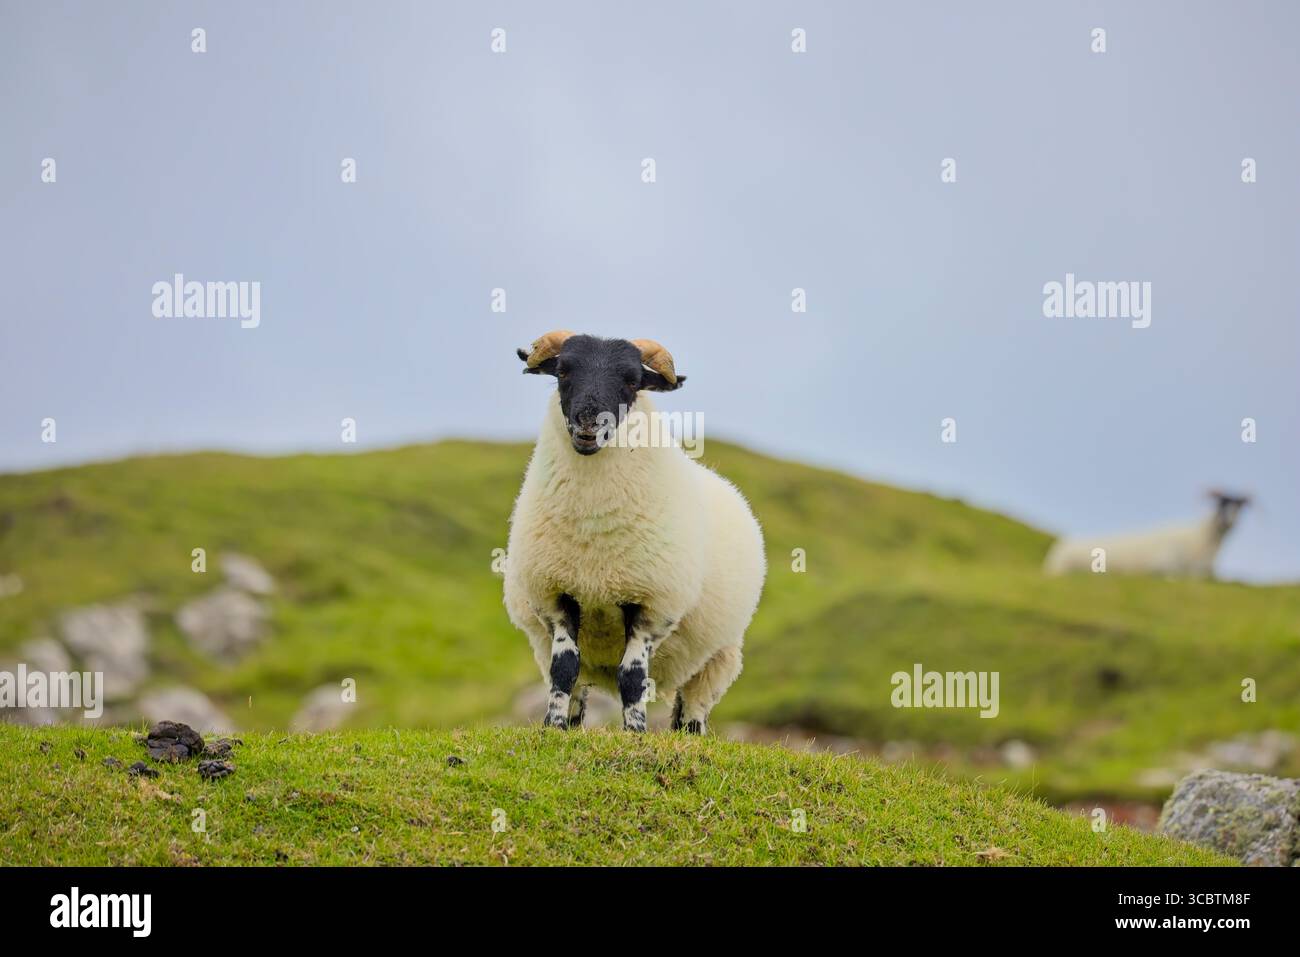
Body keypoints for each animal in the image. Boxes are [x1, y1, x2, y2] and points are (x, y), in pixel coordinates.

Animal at [503, 332, 766, 734]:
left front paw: (636, 732)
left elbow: (631, 676)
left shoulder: (651, 604)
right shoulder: (557, 594)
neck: (593, 525)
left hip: (717, 658)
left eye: (632, 381)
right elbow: (564, 669)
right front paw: (554, 727)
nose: (589, 423)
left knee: (692, 710)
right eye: (562, 371)